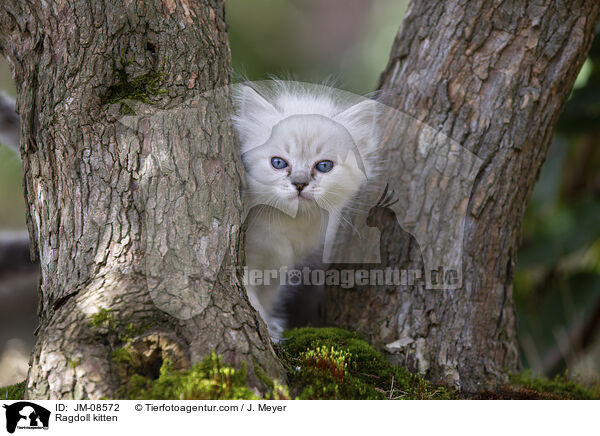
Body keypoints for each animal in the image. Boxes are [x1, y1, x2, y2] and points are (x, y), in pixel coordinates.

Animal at [231, 82, 378, 340]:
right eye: (278, 163)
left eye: (324, 166)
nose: (299, 184)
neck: (291, 225)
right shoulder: (249, 259)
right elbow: (251, 298)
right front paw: (269, 331)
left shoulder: (277, 266)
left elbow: (266, 299)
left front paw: (270, 327)